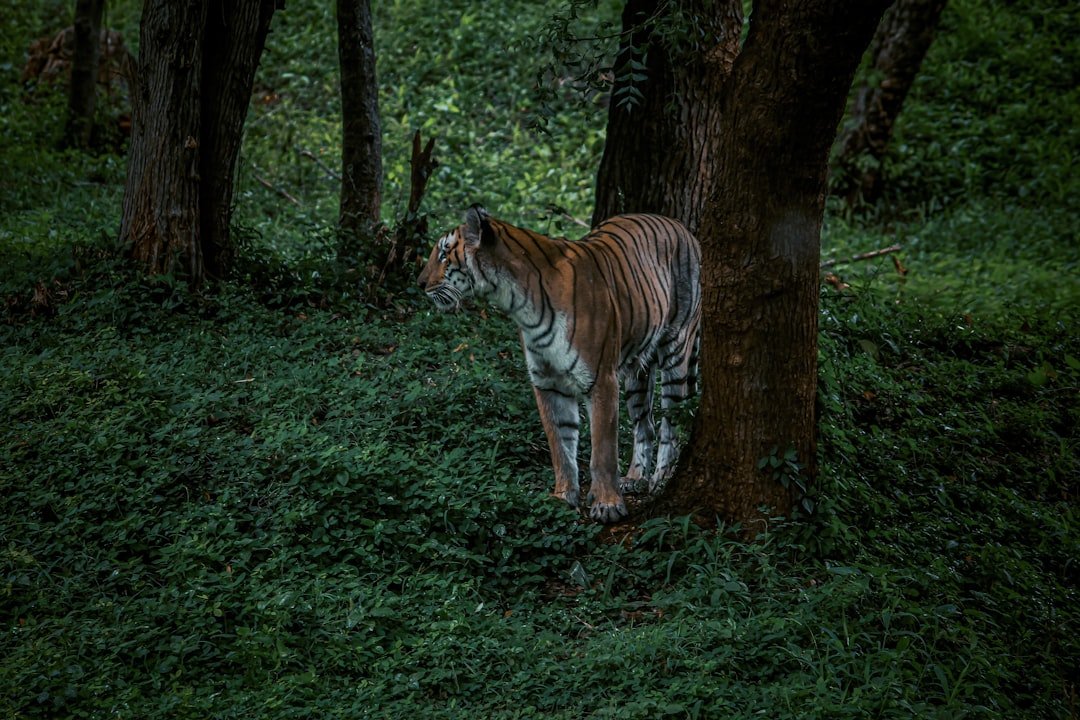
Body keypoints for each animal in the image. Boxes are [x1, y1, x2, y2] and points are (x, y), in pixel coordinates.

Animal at [417, 205, 701, 523]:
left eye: (444, 254)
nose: (420, 283)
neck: (518, 303)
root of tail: (682, 228)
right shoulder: (547, 383)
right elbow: (560, 444)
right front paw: (563, 497)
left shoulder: (601, 379)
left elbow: (602, 450)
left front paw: (607, 504)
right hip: (637, 372)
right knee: (645, 424)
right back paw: (635, 478)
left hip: (676, 350)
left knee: (671, 424)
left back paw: (661, 479)